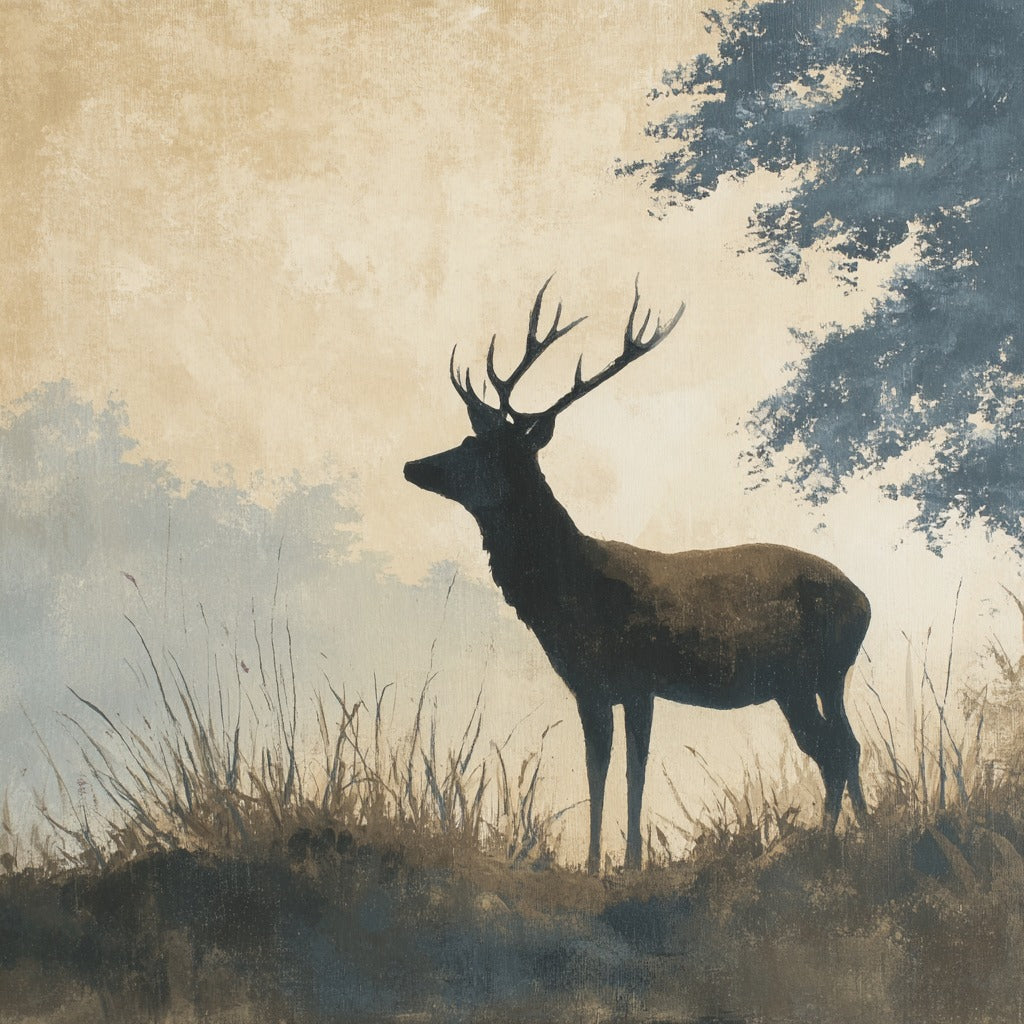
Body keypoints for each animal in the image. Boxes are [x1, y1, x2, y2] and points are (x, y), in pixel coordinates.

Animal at [404, 279, 871, 872]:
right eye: (468, 440)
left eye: (483, 449)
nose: (414, 465)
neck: (572, 597)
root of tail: (865, 601)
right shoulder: (588, 687)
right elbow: (596, 771)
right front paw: (594, 863)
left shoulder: (639, 679)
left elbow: (634, 772)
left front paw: (630, 863)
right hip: (809, 681)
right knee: (841, 748)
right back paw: (851, 833)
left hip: (815, 670)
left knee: (838, 749)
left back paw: (839, 839)